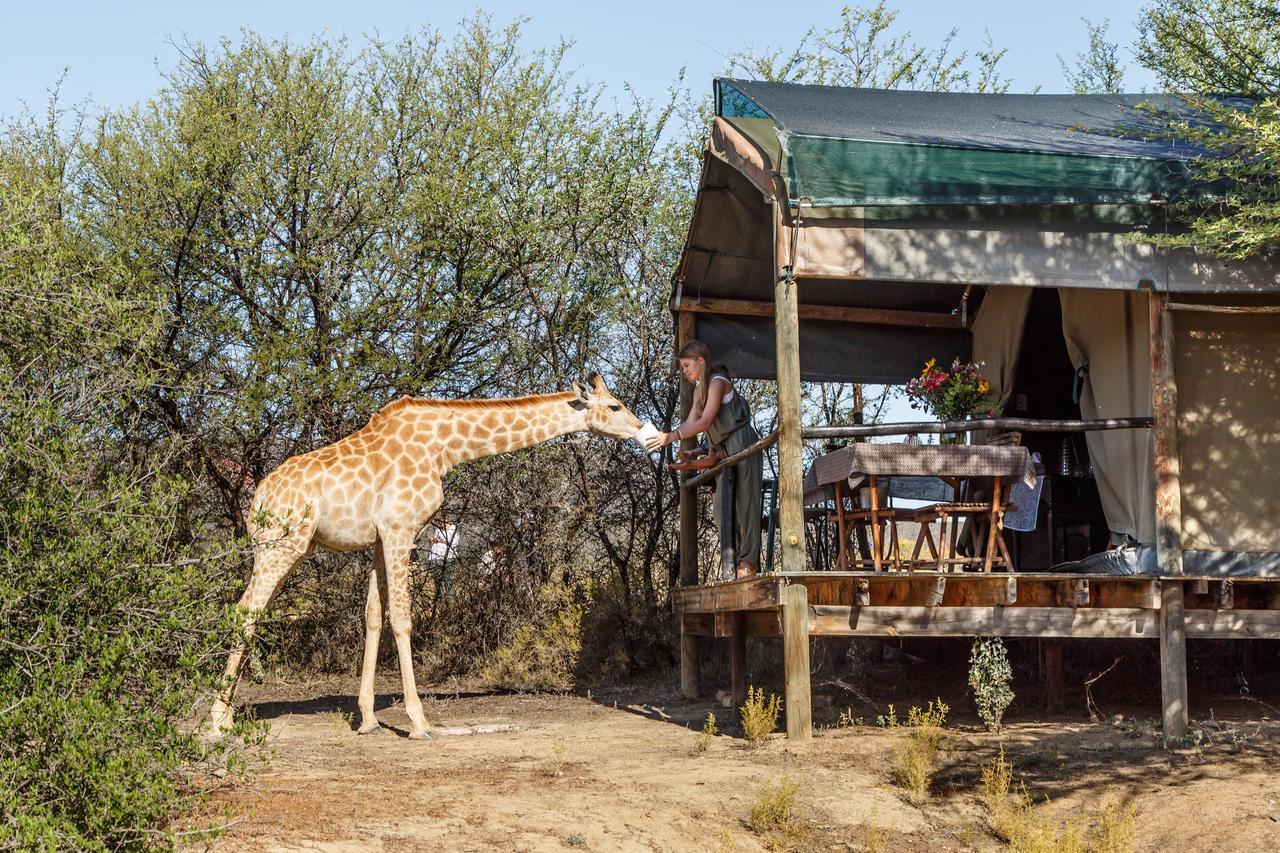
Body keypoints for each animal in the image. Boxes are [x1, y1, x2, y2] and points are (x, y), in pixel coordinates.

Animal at [212, 371, 650, 737]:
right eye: (615, 406)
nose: (643, 431)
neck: (445, 448)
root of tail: (258, 497)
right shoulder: (401, 528)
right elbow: (403, 619)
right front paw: (419, 721)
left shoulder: (379, 538)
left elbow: (373, 616)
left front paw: (368, 719)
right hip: (282, 545)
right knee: (245, 609)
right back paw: (217, 721)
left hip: (281, 547)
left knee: (252, 611)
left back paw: (230, 713)